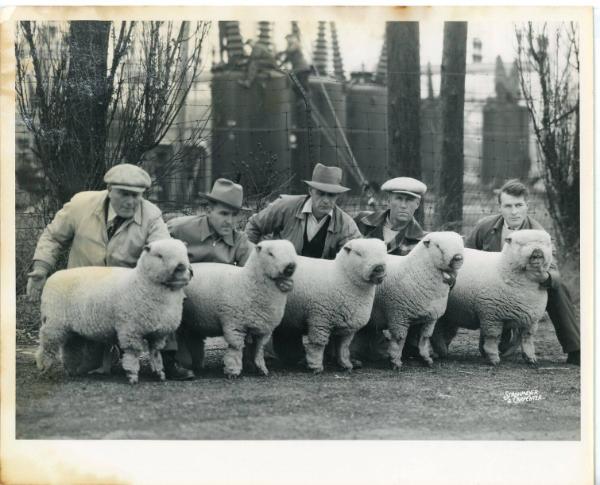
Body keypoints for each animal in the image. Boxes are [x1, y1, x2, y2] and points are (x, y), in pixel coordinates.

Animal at [36, 238, 191, 382]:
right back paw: (44, 367)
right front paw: (132, 375)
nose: (181, 267)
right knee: (47, 346)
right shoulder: (130, 330)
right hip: (54, 323)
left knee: (71, 347)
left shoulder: (158, 334)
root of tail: (53, 277)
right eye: (159, 255)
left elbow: (155, 353)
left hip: (72, 329)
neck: (141, 282)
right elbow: (133, 353)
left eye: (185, 254)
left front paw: (160, 373)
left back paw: (72, 370)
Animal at [180, 239, 298, 378]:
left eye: (293, 252)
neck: (247, 282)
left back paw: (198, 365)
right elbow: (236, 349)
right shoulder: (235, 325)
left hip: (195, 320)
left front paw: (261, 368)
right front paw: (233, 371)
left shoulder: (264, 329)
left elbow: (259, 349)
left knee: (194, 340)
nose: (290, 266)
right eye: (270, 253)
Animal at [270, 236, 386, 372]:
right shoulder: (320, 319)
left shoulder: (347, 326)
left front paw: (346, 364)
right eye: (359, 254)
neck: (343, 276)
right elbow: (318, 344)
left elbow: (343, 347)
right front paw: (316, 366)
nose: (379, 268)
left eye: (384, 253)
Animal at [354, 233, 466, 368]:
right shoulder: (398, 316)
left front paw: (425, 358)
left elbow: (424, 338)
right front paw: (395, 361)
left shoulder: (430, 318)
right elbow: (399, 340)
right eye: (438, 246)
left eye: (461, 244)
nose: (457, 257)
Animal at [432, 229, 552, 364]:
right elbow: (493, 337)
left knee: (441, 331)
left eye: (545, 244)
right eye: (521, 244)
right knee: (436, 331)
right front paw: (493, 358)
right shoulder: (492, 316)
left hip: (450, 314)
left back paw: (441, 351)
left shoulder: (531, 320)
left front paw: (530, 358)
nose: (537, 251)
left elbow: (527, 338)